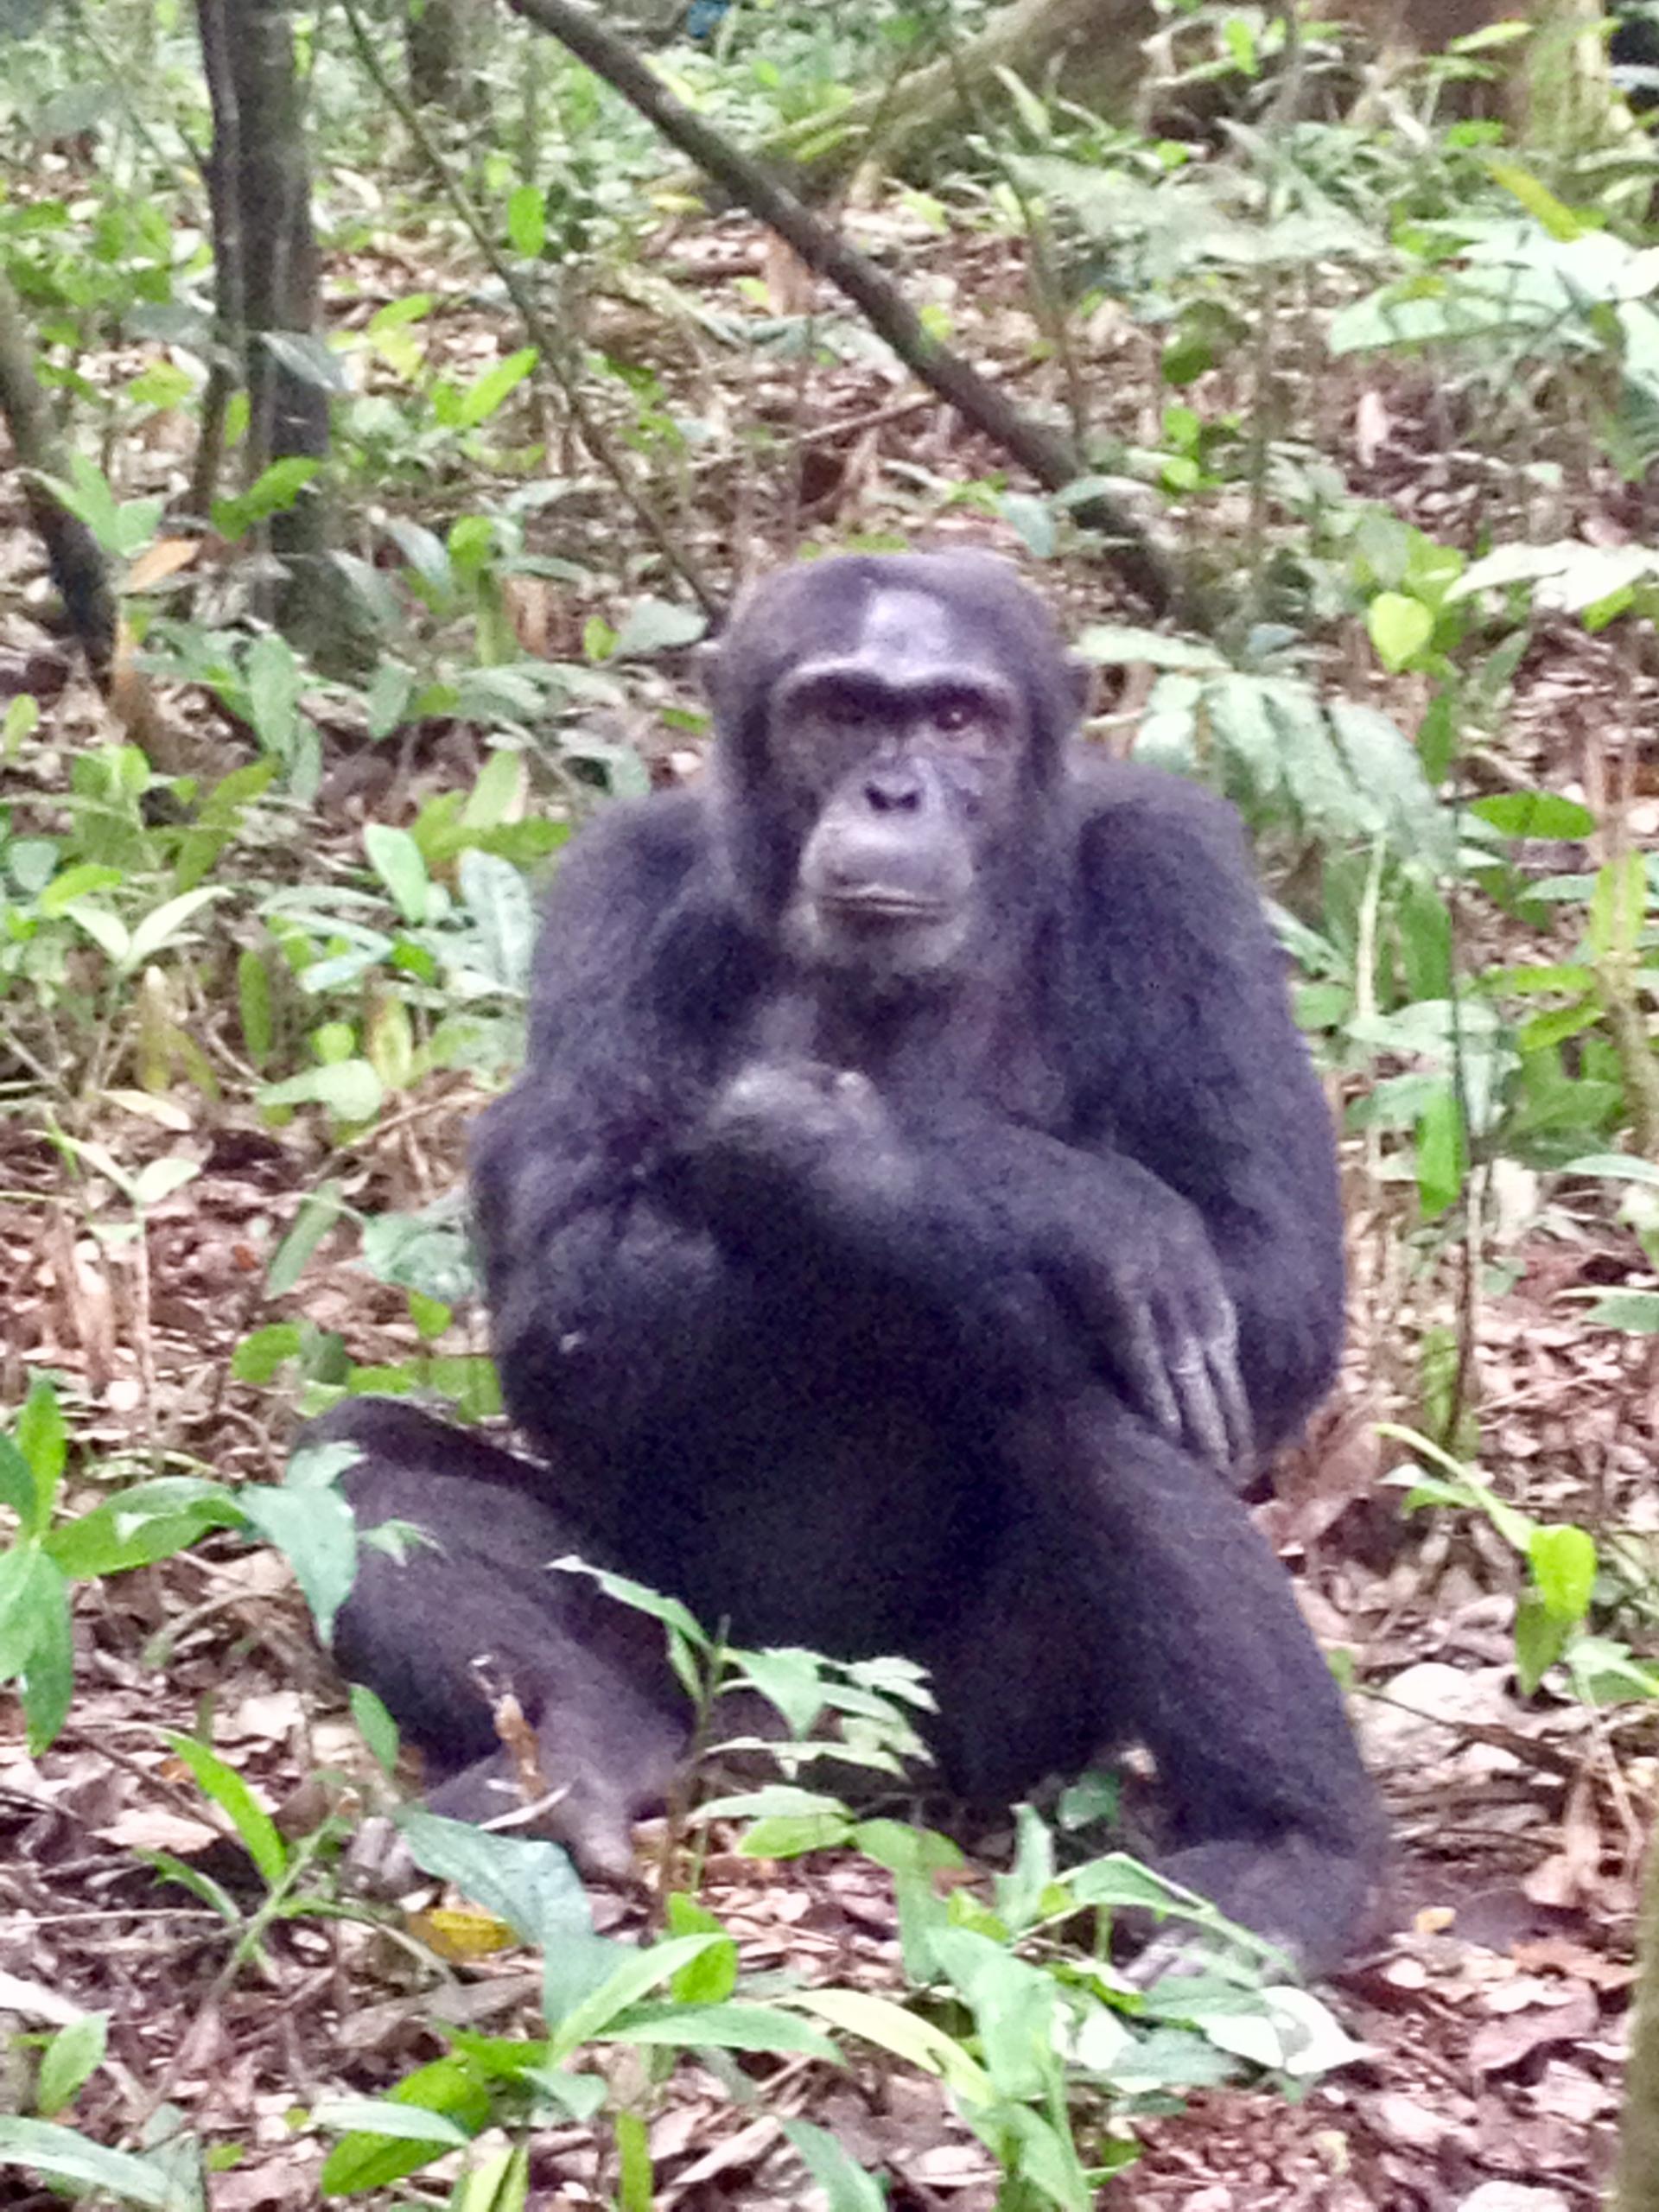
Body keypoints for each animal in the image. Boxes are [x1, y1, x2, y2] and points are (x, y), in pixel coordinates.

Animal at [314, 548, 1389, 1973]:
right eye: (839, 712)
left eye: (957, 718)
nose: (895, 791)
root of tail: (787, 1729)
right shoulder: (614, 889)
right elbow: (563, 1285)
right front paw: (1011, 1190)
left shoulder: (1178, 876)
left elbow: (1268, 1282)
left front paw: (863, 1150)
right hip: (687, 1644)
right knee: (356, 1461)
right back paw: (575, 1754)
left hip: (952, 1725)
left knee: (1085, 1383)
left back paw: (1293, 1853)